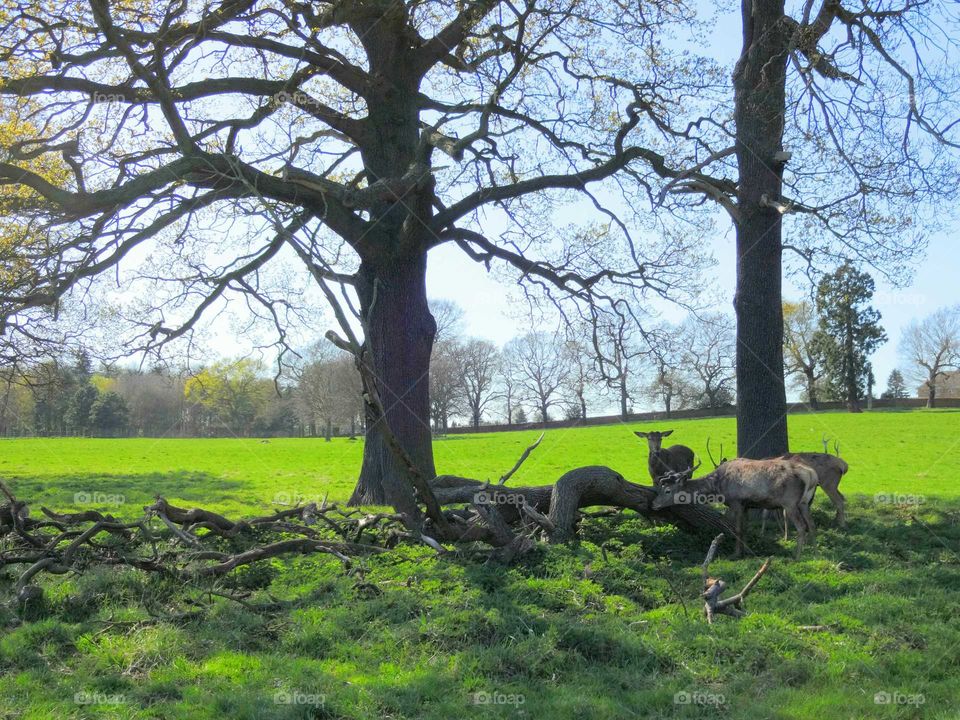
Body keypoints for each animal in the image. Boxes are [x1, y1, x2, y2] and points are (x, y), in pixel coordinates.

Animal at [652, 456, 816, 556]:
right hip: (804, 502)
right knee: (811, 524)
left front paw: (736, 553)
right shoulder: (746, 506)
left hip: (790, 502)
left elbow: (736, 529)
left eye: (667, 490)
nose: (654, 504)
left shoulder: (736, 502)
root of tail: (810, 474)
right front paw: (747, 551)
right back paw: (811, 550)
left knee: (801, 526)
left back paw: (797, 555)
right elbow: (745, 528)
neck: (718, 487)